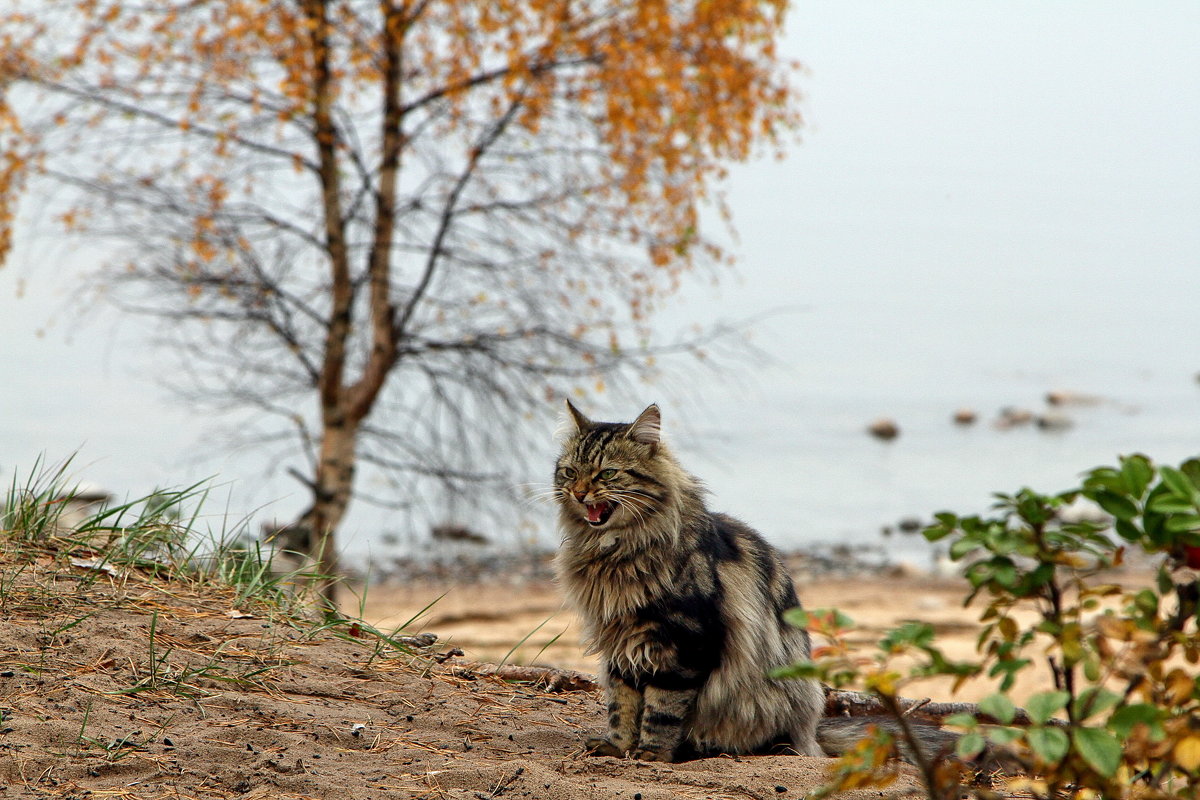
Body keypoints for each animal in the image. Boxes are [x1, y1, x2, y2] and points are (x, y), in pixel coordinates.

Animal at [552, 400, 955, 762]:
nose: (579, 493)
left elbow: (661, 710)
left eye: (606, 474)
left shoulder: (683, 643)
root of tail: (813, 732)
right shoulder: (619, 642)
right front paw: (617, 746)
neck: (615, 553)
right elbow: (621, 705)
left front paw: (650, 753)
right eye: (570, 472)